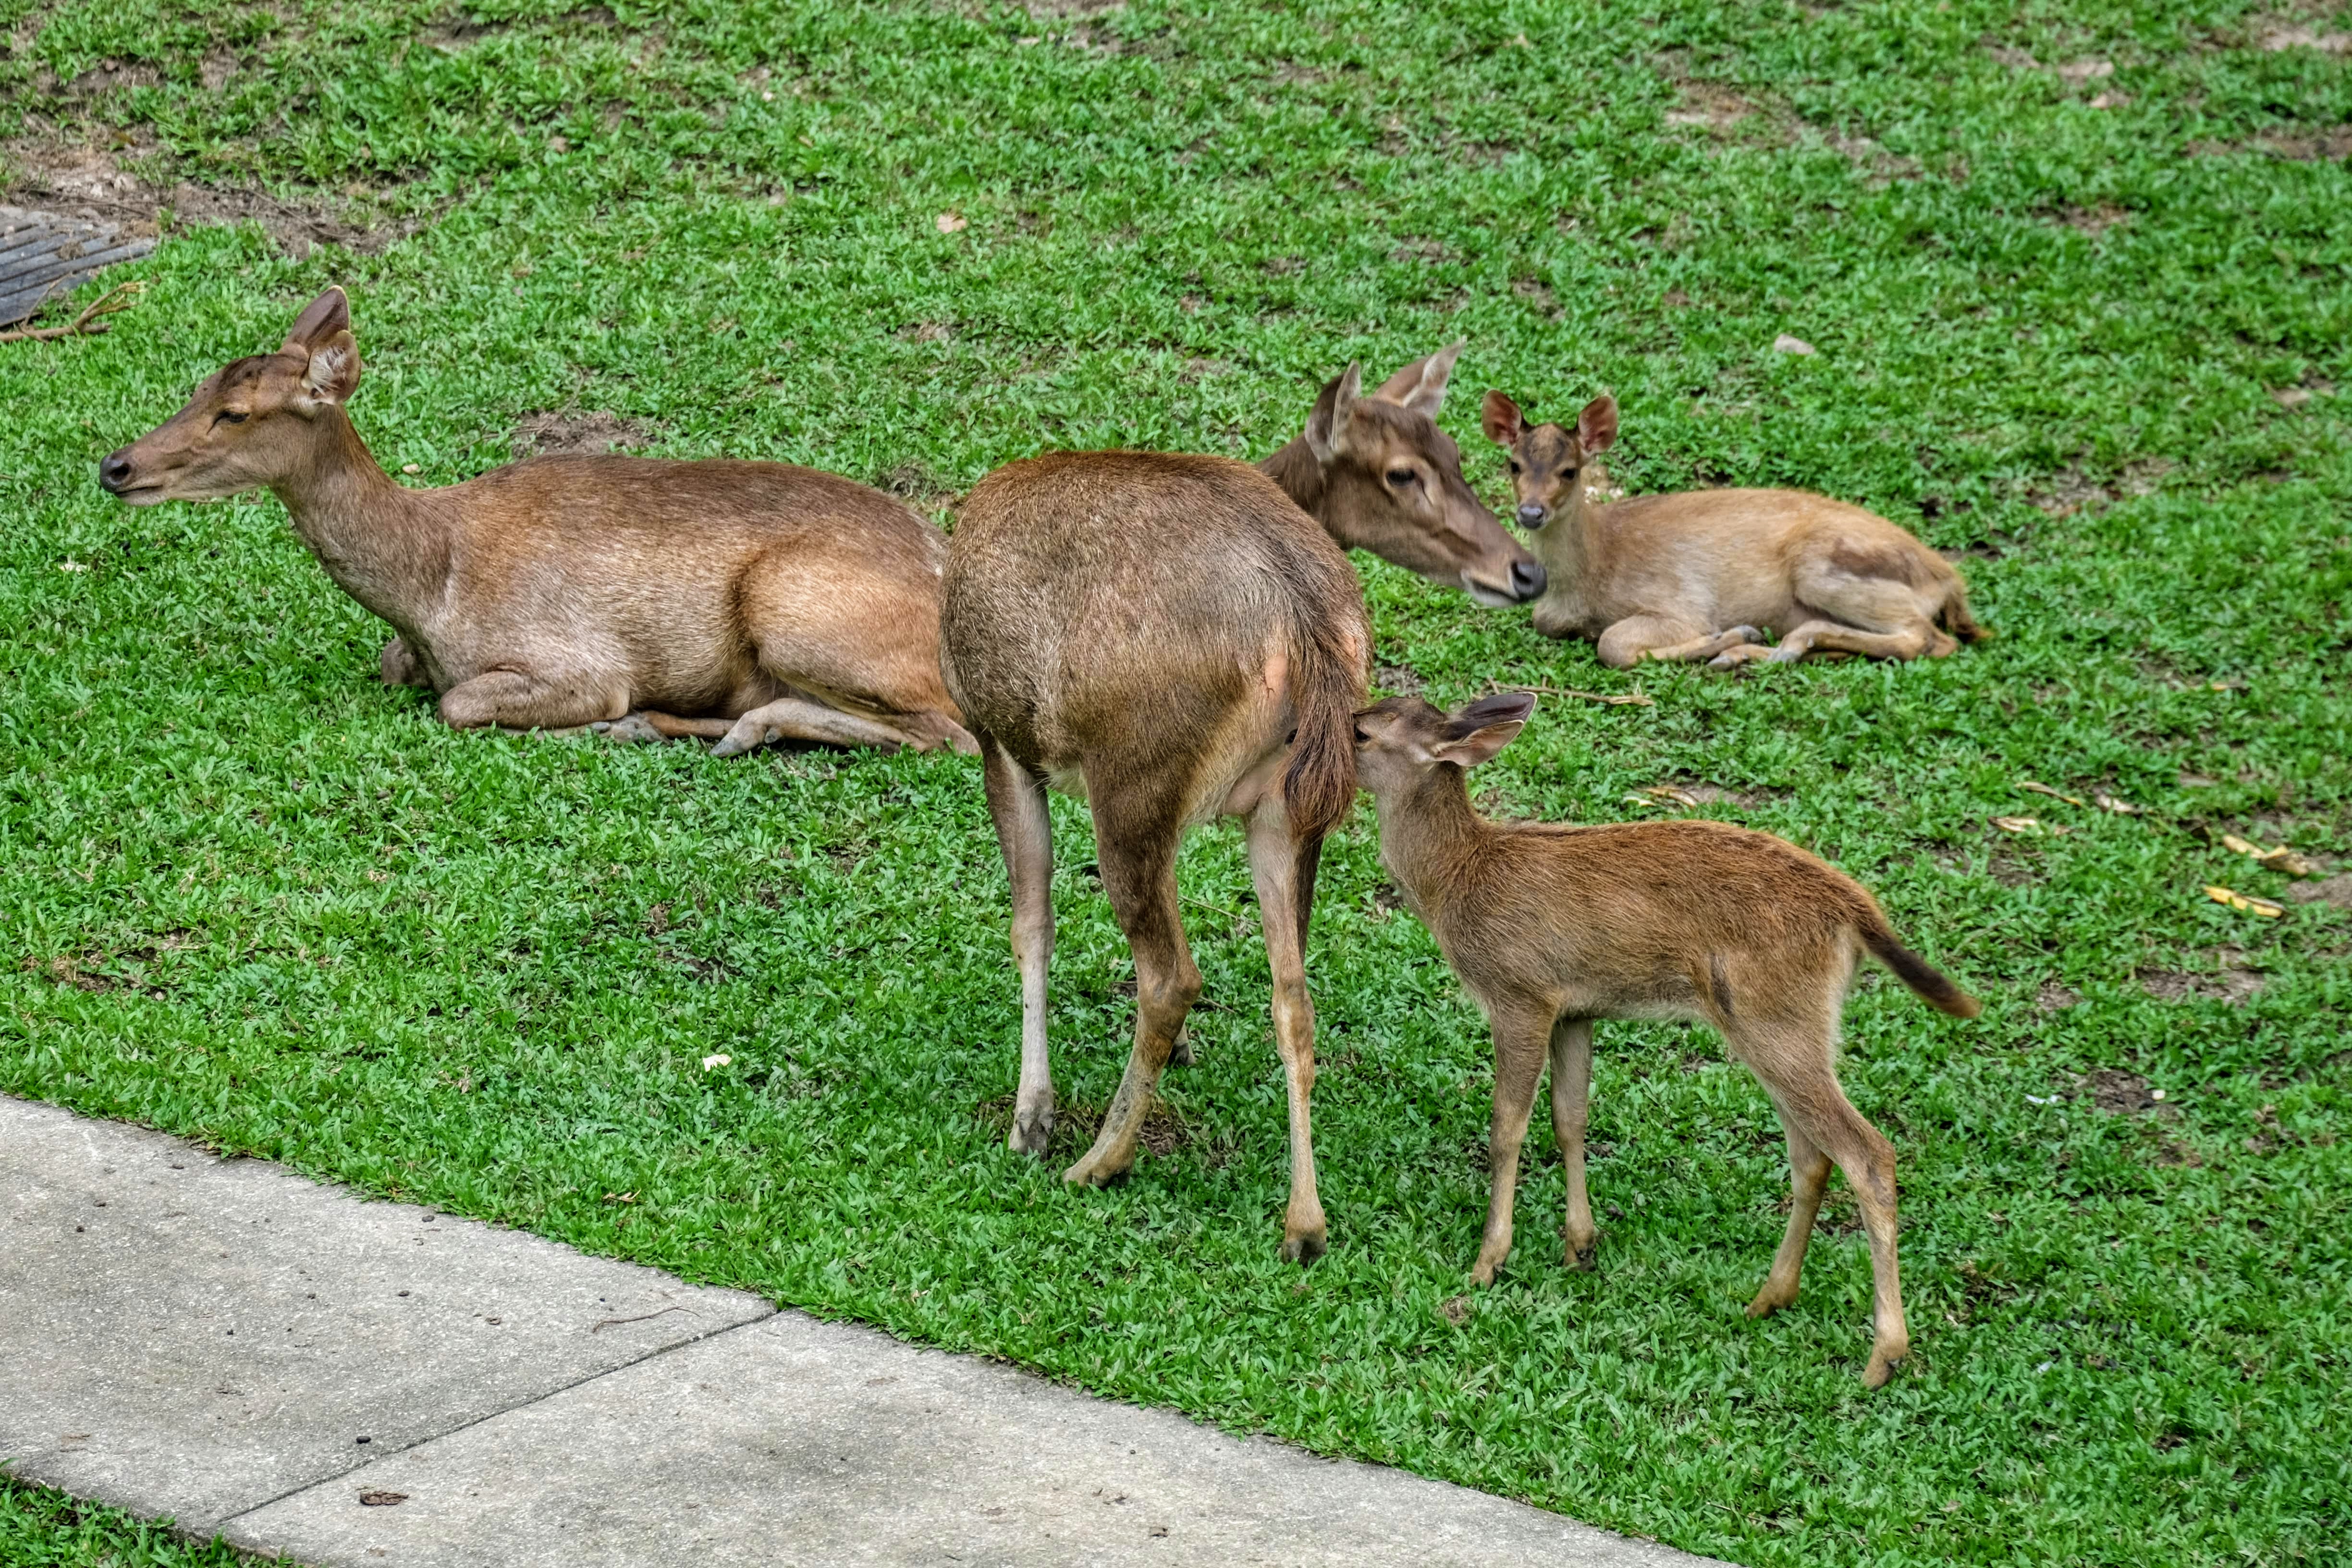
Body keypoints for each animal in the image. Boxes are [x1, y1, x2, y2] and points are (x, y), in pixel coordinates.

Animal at [101, 294, 973, 761]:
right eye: (199, 386)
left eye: (236, 413)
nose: (116, 465)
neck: (429, 589)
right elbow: (397, 670)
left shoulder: (578, 658)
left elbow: (460, 705)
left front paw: (598, 723)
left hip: (797, 606)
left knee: (948, 732)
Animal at [941, 451, 1373, 1260]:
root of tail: (1307, 630)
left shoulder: (1003, 742)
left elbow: (1031, 925)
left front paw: (1031, 1120)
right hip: (1287, 807)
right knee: (1293, 992)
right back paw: (1304, 1223)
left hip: (1135, 779)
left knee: (1172, 975)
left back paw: (1099, 1161)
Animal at [1355, 691, 1975, 1382]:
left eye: (1361, 732)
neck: (1456, 882)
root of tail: (1857, 914)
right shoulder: (1576, 1008)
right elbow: (1570, 1118)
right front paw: (1580, 1246)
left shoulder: (1520, 994)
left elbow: (1507, 1127)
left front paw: (1488, 1262)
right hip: (1789, 1029)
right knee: (1814, 1156)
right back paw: (1769, 1297)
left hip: (1775, 1021)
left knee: (1868, 1153)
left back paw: (1883, 1355)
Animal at [1486, 392, 1985, 667]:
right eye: (1514, 465)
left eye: (1569, 471)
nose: (1531, 513)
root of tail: (1948, 580)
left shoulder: (1680, 603)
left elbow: (1613, 644)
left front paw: (1723, 637)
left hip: (1830, 569)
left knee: (1927, 638)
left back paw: (1762, 646)